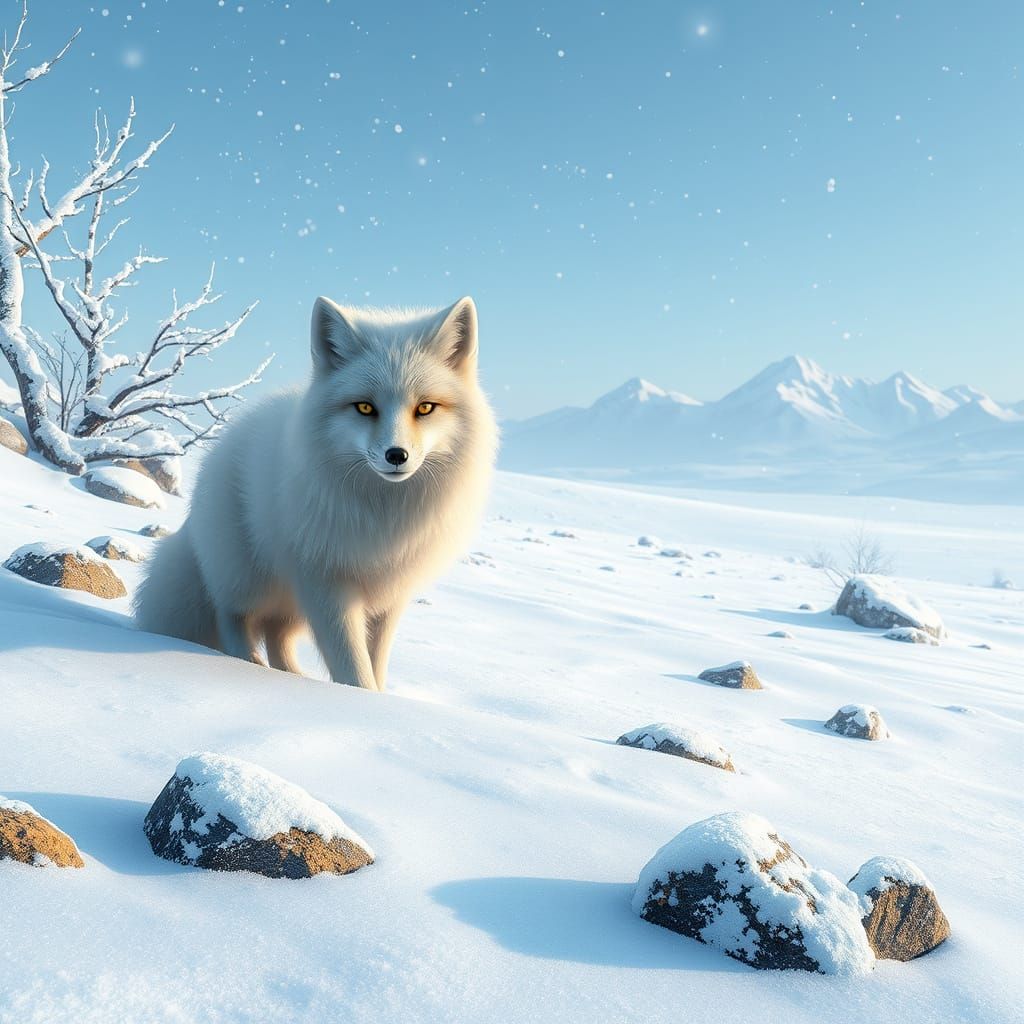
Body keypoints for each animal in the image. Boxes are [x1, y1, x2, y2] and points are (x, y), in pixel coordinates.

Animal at [134, 295, 498, 690]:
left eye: (426, 407)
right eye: (365, 407)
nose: (396, 456)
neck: (383, 511)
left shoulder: (390, 593)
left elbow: (376, 663)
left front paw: (377, 697)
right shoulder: (326, 581)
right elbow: (352, 665)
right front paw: (357, 696)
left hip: (289, 604)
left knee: (276, 636)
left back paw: (293, 677)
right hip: (249, 576)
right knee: (231, 615)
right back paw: (248, 664)